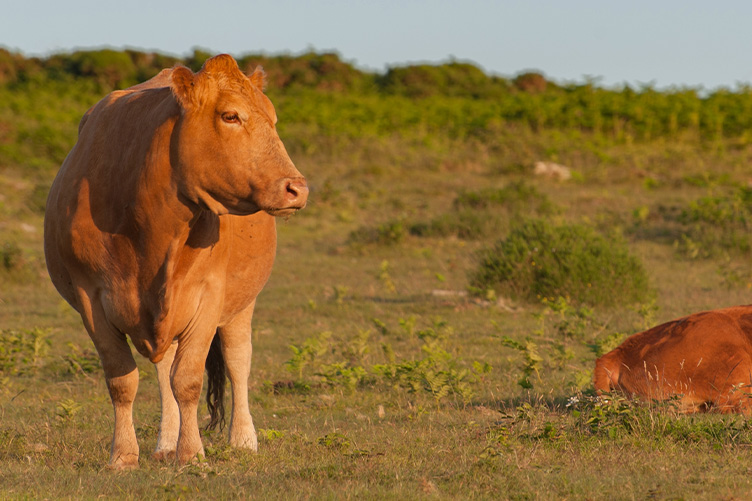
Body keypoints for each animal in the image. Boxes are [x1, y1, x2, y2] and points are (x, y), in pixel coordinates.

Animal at [44, 54, 308, 468]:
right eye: (230, 116)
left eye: (273, 117)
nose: (297, 188)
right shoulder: (90, 300)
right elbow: (123, 381)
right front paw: (123, 455)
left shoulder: (208, 294)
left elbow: (188, 380)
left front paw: (192, 453)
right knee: (164, 366)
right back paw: (166, 440)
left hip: (242, 303)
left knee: (237, 361)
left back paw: (242, 439)